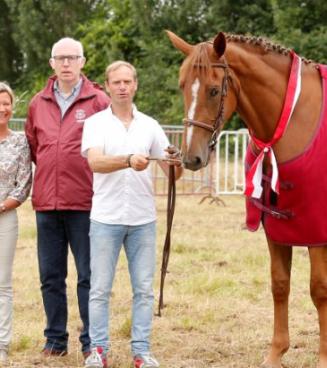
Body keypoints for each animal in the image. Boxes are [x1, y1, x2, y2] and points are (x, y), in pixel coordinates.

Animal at [168, 30, 327, 368]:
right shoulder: (276, 229)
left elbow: (319, 289)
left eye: (214, 90)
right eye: (182, 86)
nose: (190, 158)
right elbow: (279, 284)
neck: (292, 121)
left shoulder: (317, 233)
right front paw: (276, 353)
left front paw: (323, 357)